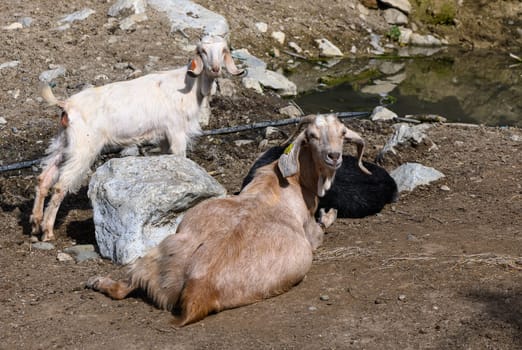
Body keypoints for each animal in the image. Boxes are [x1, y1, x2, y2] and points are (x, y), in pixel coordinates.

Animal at [30, 36, 244, 243]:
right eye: (203, 51)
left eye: (223, 51)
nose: (215, 69)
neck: (190, 86)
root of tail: (66, 104)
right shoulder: (176, 130)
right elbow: (180, 157)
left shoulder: (163, 137)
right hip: (83, 147)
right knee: (60, 186)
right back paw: (47, 231)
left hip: (64, 143)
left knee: (44, 179)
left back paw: (35, 226)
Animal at [86, 115, 370, 328]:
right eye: (311, 135)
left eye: (342, 133)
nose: (334, 156)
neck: (289, 182)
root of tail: (197, 289)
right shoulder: (311, 234)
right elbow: (321, 227)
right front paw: (329, 214)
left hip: (153, 257)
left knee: (123, 287)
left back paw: (97, 282)